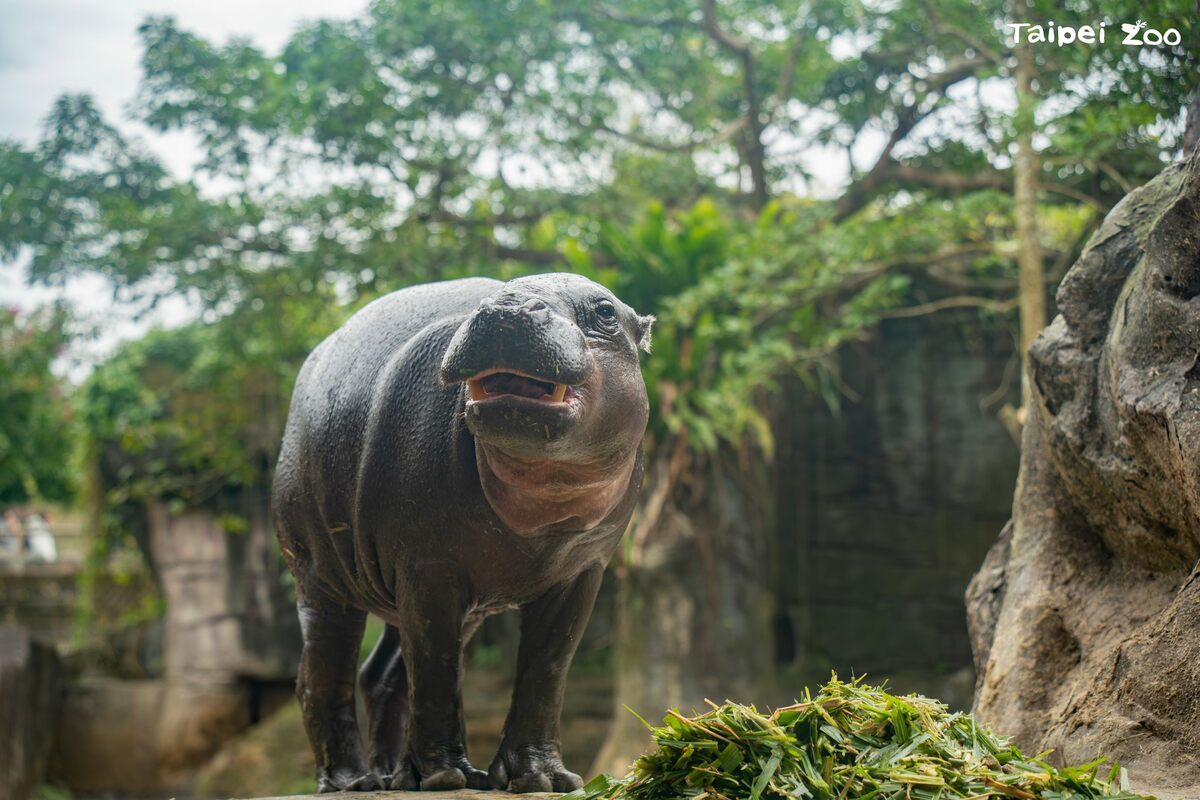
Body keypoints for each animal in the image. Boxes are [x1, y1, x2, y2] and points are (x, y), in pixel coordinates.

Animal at [272, 273, 652, 796]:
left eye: (605, 311)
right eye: (496, 294)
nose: (506, 308)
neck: (545, 503)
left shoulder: (583, 570)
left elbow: (547, 669)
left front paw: (545, 779)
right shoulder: (428, 565)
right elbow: (436, 668)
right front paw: (447, 776)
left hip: (437, 599)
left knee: (382, 676)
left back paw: (394, 778)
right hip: (319, 574)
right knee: (323, 674)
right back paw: (353, 781)